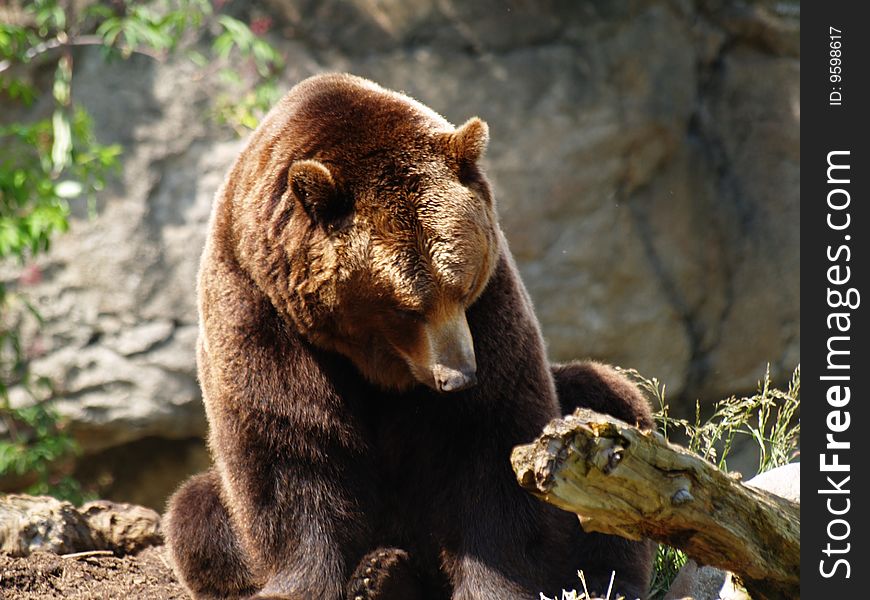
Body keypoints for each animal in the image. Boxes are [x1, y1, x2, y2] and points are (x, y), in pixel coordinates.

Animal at [165, 71, 656, 600]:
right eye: (406, 307)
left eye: (462, 284)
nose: (459, 377)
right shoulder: (262, 308)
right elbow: (290, 444)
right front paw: (307, 582)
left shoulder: (491, 312)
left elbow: (491, 442)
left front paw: (493, 584)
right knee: (195, 512)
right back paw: (382, 573)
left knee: (603, 396)